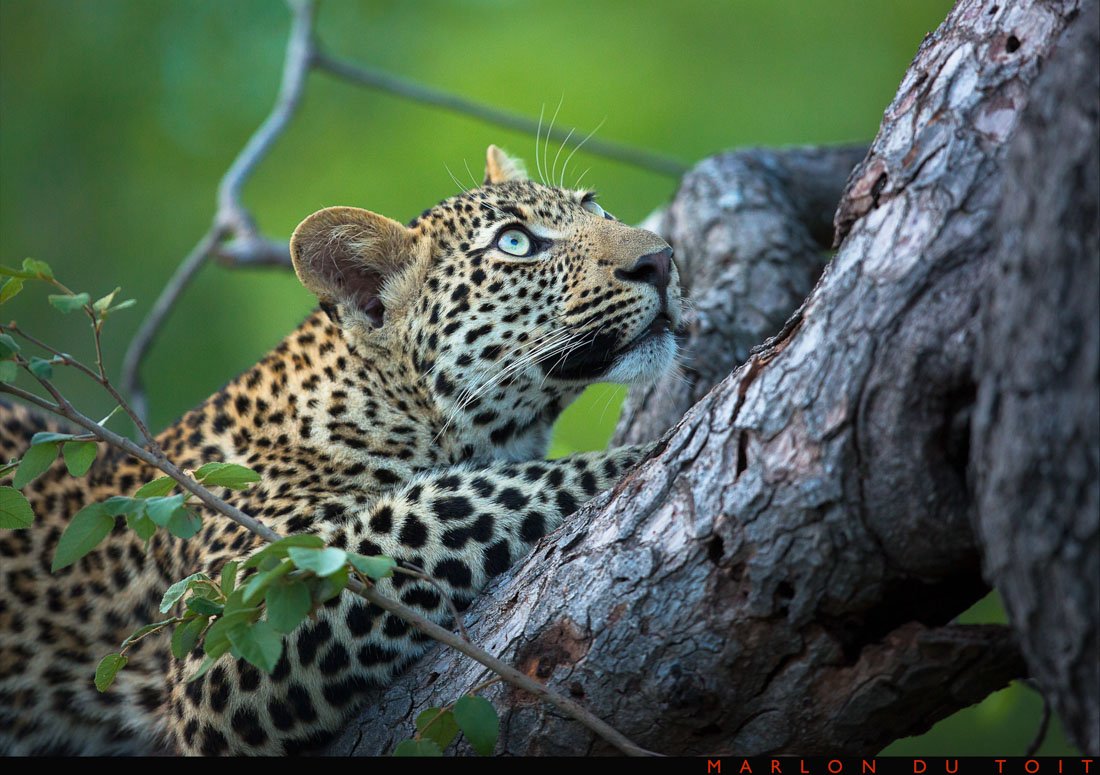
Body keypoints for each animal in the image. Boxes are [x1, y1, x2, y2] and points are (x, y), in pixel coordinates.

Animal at [0, 145, 681, 755]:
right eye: (516, 243)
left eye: (593, 205)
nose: (661, 259)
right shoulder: (230, 633)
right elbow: (468, 495)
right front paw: (646, 450)